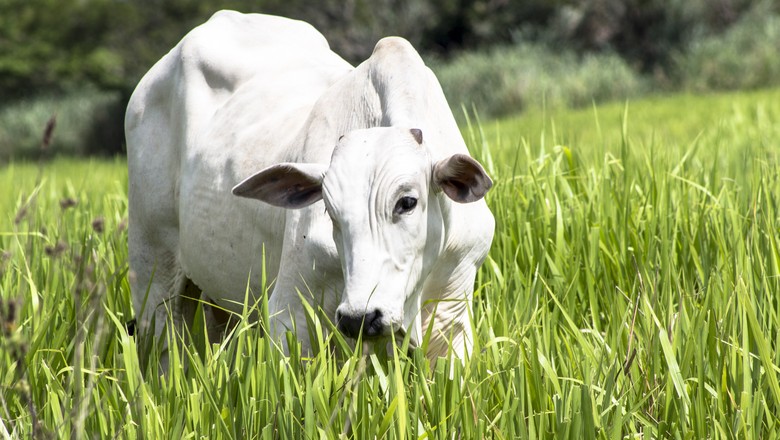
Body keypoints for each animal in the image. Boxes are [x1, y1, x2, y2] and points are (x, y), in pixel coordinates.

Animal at [125, 11, 496, 360]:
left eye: (407, 202)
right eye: (330, 211)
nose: (361, 317)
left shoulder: (452, 317)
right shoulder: (290, 314)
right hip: (153, 276)